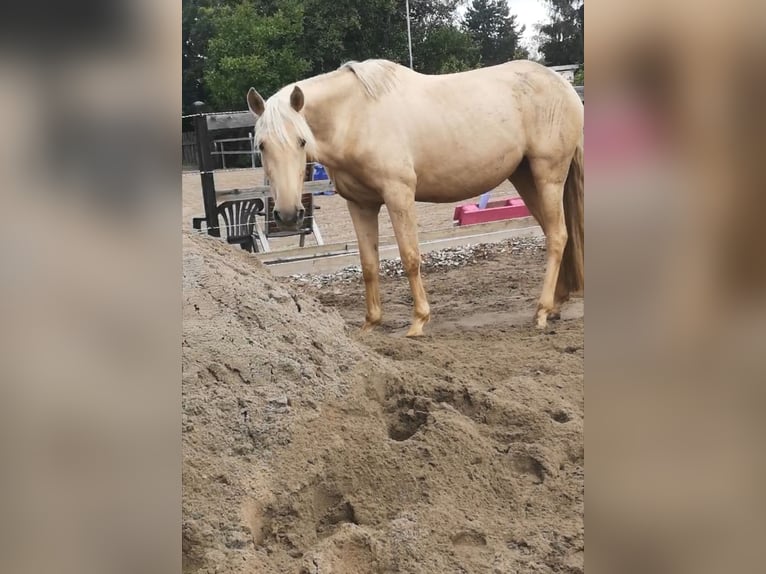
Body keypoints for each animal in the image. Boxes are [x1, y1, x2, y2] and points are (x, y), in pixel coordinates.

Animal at [249, 58, 584, 338]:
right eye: (262, 145)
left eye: (301, 141)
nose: (288, 215)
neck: (357, 117)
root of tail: (564, 84)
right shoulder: (360, 205)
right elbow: (368, 264)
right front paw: (371, 323)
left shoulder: (399, 195)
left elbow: (410, 257)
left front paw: (419, 321)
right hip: (525, 178)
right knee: (555, 234)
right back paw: (555, 305)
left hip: (548, 176)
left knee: (557, 237)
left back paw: (541, 312)